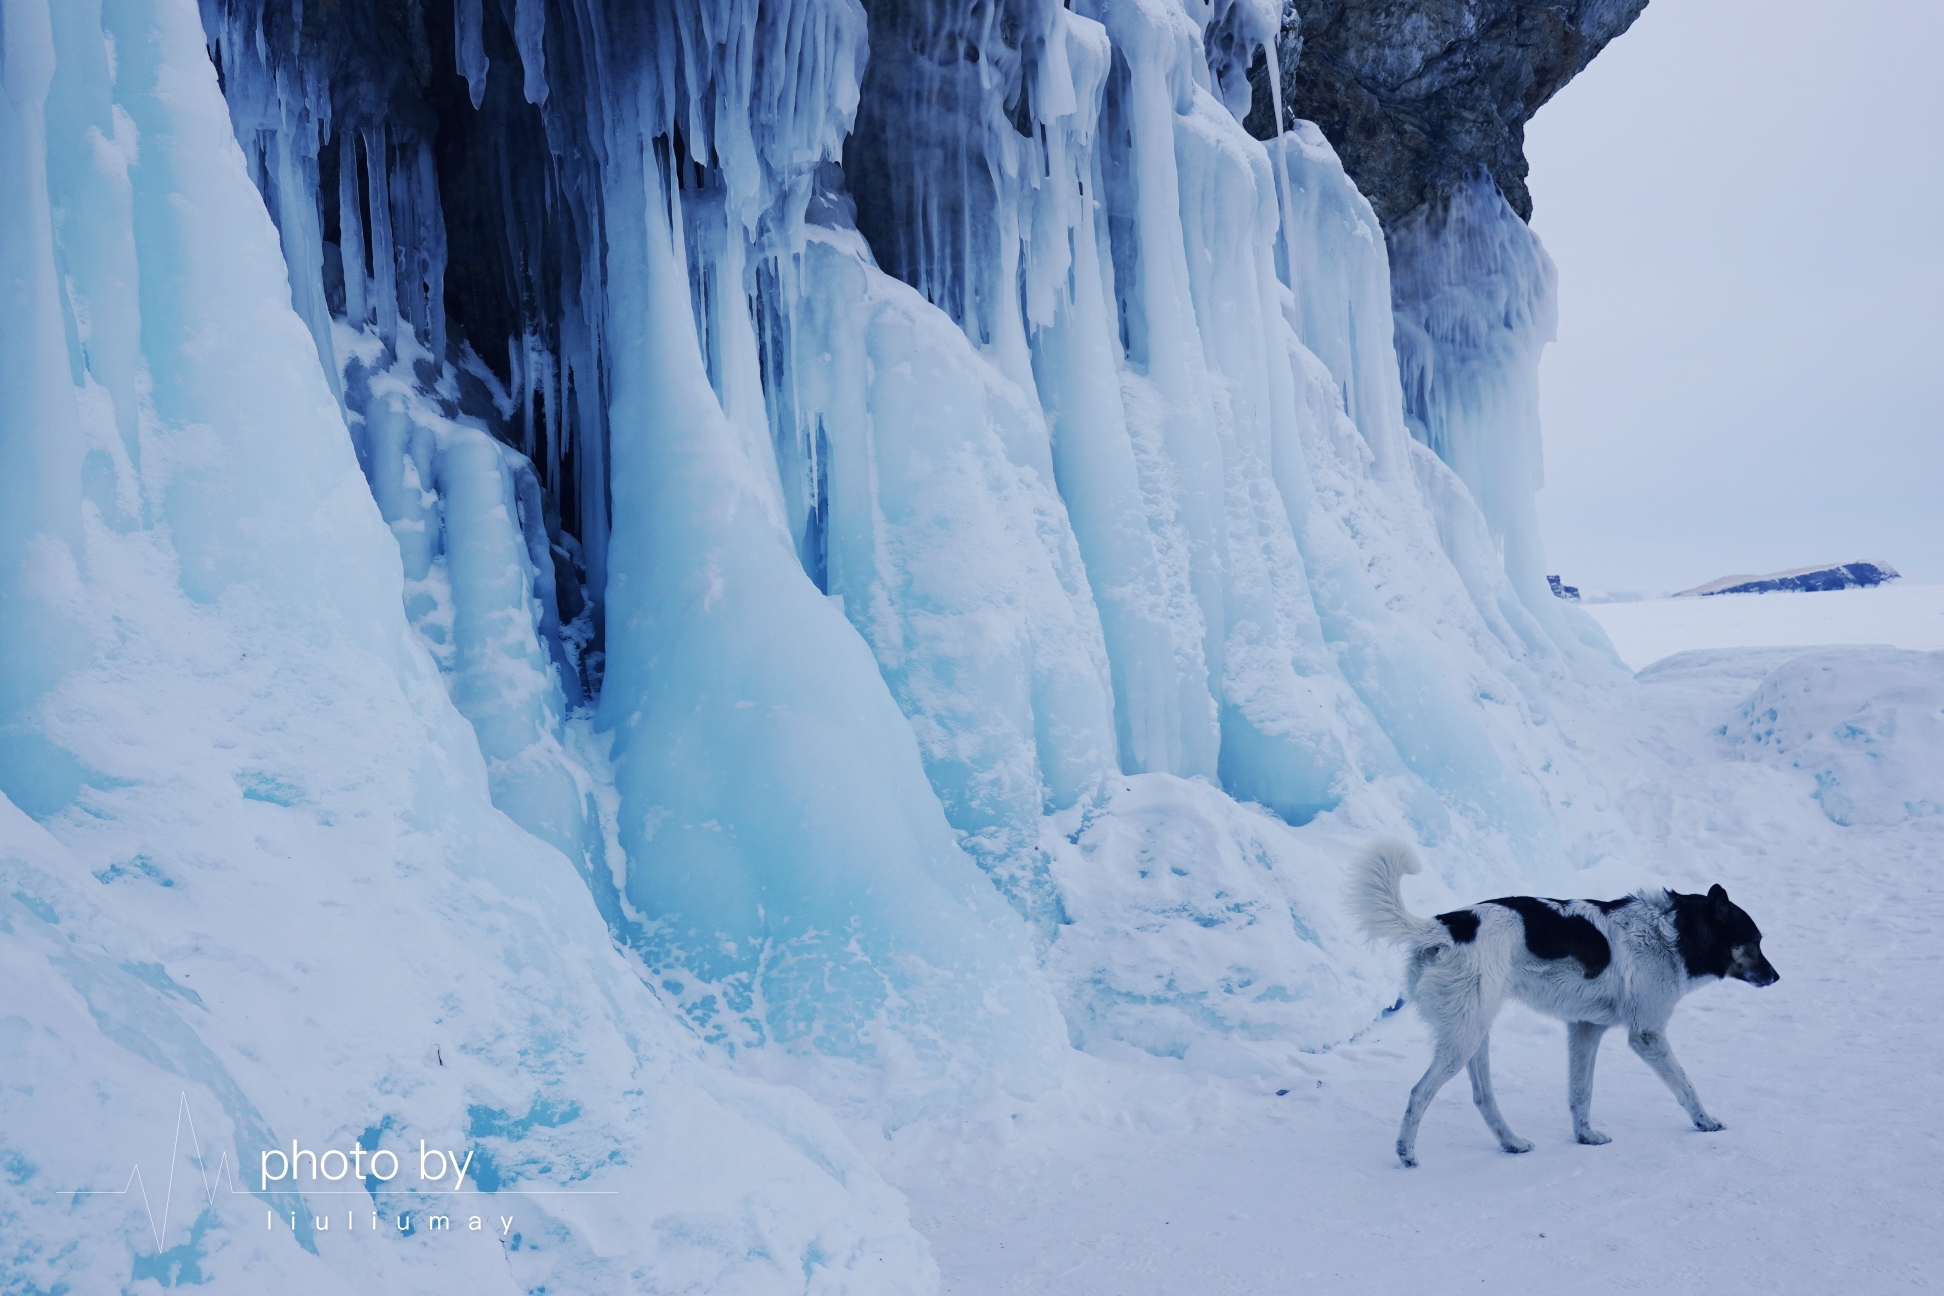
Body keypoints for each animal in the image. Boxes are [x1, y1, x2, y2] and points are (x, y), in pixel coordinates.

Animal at [1353, 843, 1780, 1165]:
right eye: (1754, 942)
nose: (1776, 977)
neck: (1671, 932)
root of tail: (1448, 924)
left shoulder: (1585, 1029)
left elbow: (1580, 1093)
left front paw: (1585, 1136)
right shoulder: (1647, 1035)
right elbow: (1685, 1085)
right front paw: (1705, 1122)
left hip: (1475, 1034)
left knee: (1483, 1096)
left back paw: (1512, 1143)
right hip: (1464, 1038)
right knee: (1419, 1093)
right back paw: (1406, 1153)